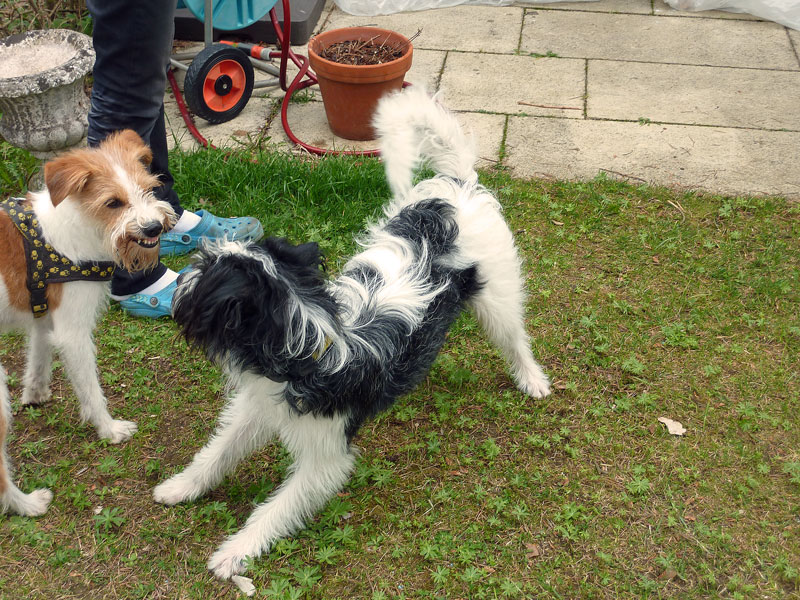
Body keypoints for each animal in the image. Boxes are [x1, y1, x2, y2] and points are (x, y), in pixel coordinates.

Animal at [0, 130, 177, 516]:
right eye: (113, 203)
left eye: (149, 189)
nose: (153, 228)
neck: (78, 226)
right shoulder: (74, 333)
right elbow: (91, 388)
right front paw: (109, 430)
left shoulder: (45, 318)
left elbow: (38, 358)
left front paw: (35, 395)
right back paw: (30, 505)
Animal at [154, 88, 551, 579]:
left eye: (205, 269)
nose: (179, 277)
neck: (308, 339)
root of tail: (455, 186)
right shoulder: (255, 408)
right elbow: (217, 452)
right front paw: (181, 487)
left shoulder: (326, 458)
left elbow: (275, 509)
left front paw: (236, 551)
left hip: (498, 299)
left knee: (516, 339)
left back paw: (532, 379)